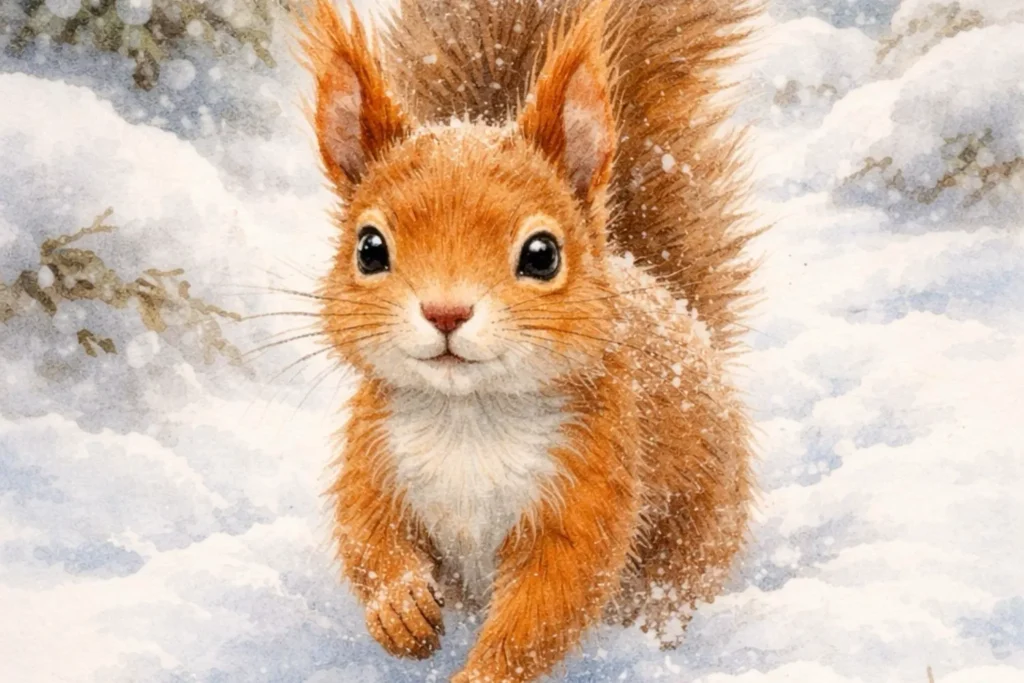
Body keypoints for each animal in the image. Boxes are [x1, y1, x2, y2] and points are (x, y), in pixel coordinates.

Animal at [300, 0, 759, 680]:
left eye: (542, 255)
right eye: (370, 248)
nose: (446, 311)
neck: (468, 418)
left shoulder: (593, 472)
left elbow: (551, 597)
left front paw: (479, 672)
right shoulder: (374, 453)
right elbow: (368, 534)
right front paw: (399, 609)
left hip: (696, 532)